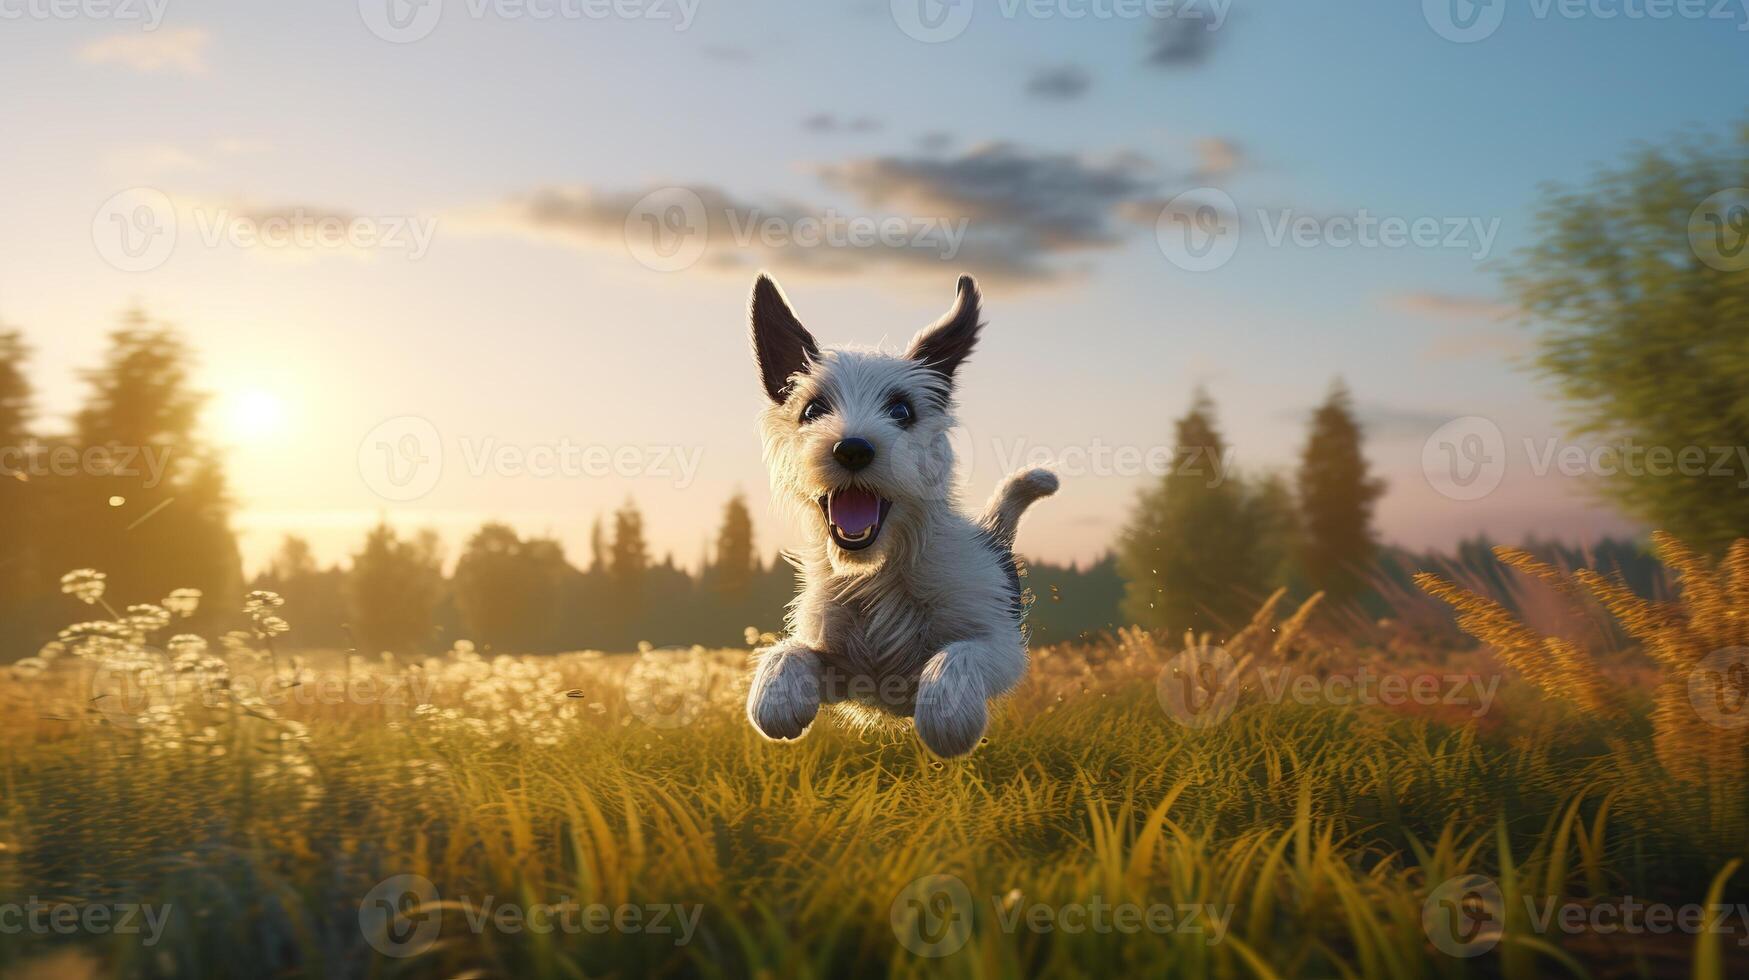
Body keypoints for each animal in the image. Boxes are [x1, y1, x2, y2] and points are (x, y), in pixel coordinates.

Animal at [738, 271, 1049, 752]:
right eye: (812, 409)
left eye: (902, 410)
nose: (852, 448)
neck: (882, 573)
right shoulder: (846, 669)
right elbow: (788, 651)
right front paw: (775, 698)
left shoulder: (1000, 645)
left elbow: (959, 653)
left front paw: (947, 715)